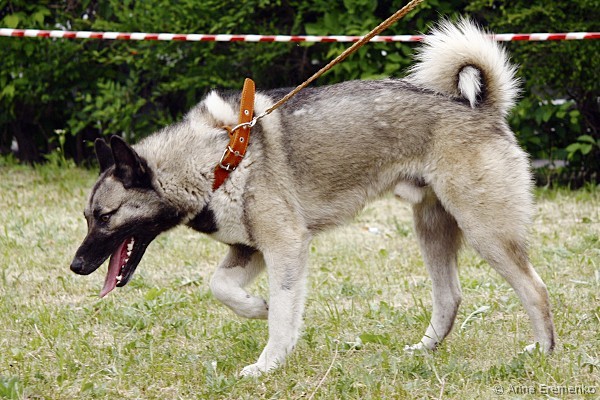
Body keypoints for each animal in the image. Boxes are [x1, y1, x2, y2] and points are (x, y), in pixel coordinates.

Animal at [70, 19, 556, 376]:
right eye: (88, 217)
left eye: (107, 216)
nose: (75, 266)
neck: (215, 161)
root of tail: (482, 109)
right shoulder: (249, 249)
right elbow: (220, 287)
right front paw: (254, 308)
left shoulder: (286, 247)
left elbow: (283, 316)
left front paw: (267, 364)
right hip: (432, 229)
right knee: (450, 297)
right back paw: (424, 350)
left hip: (485, 232)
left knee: (536, 288)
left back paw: (542, 351)